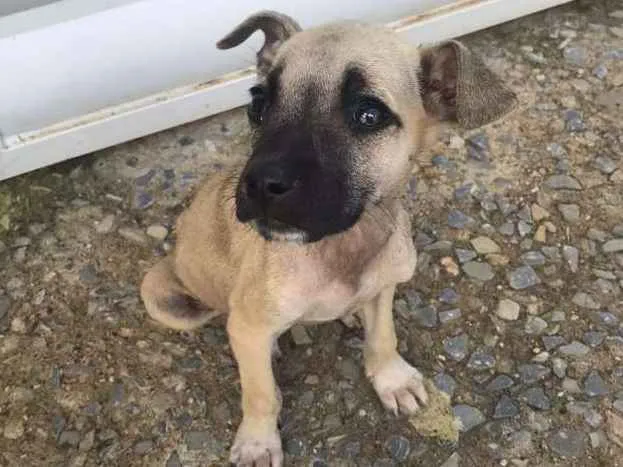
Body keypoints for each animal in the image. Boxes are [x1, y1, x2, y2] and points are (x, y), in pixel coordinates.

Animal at [141, 11, 516, 467]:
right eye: (258, 103)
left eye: (368, 115)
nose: (260, 185)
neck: (340, 246)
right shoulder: (248, 327)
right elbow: (260, 393)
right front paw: (258, 440)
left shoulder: (385, 285)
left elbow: (383, 335)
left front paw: (391, 377)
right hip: (167, 298)